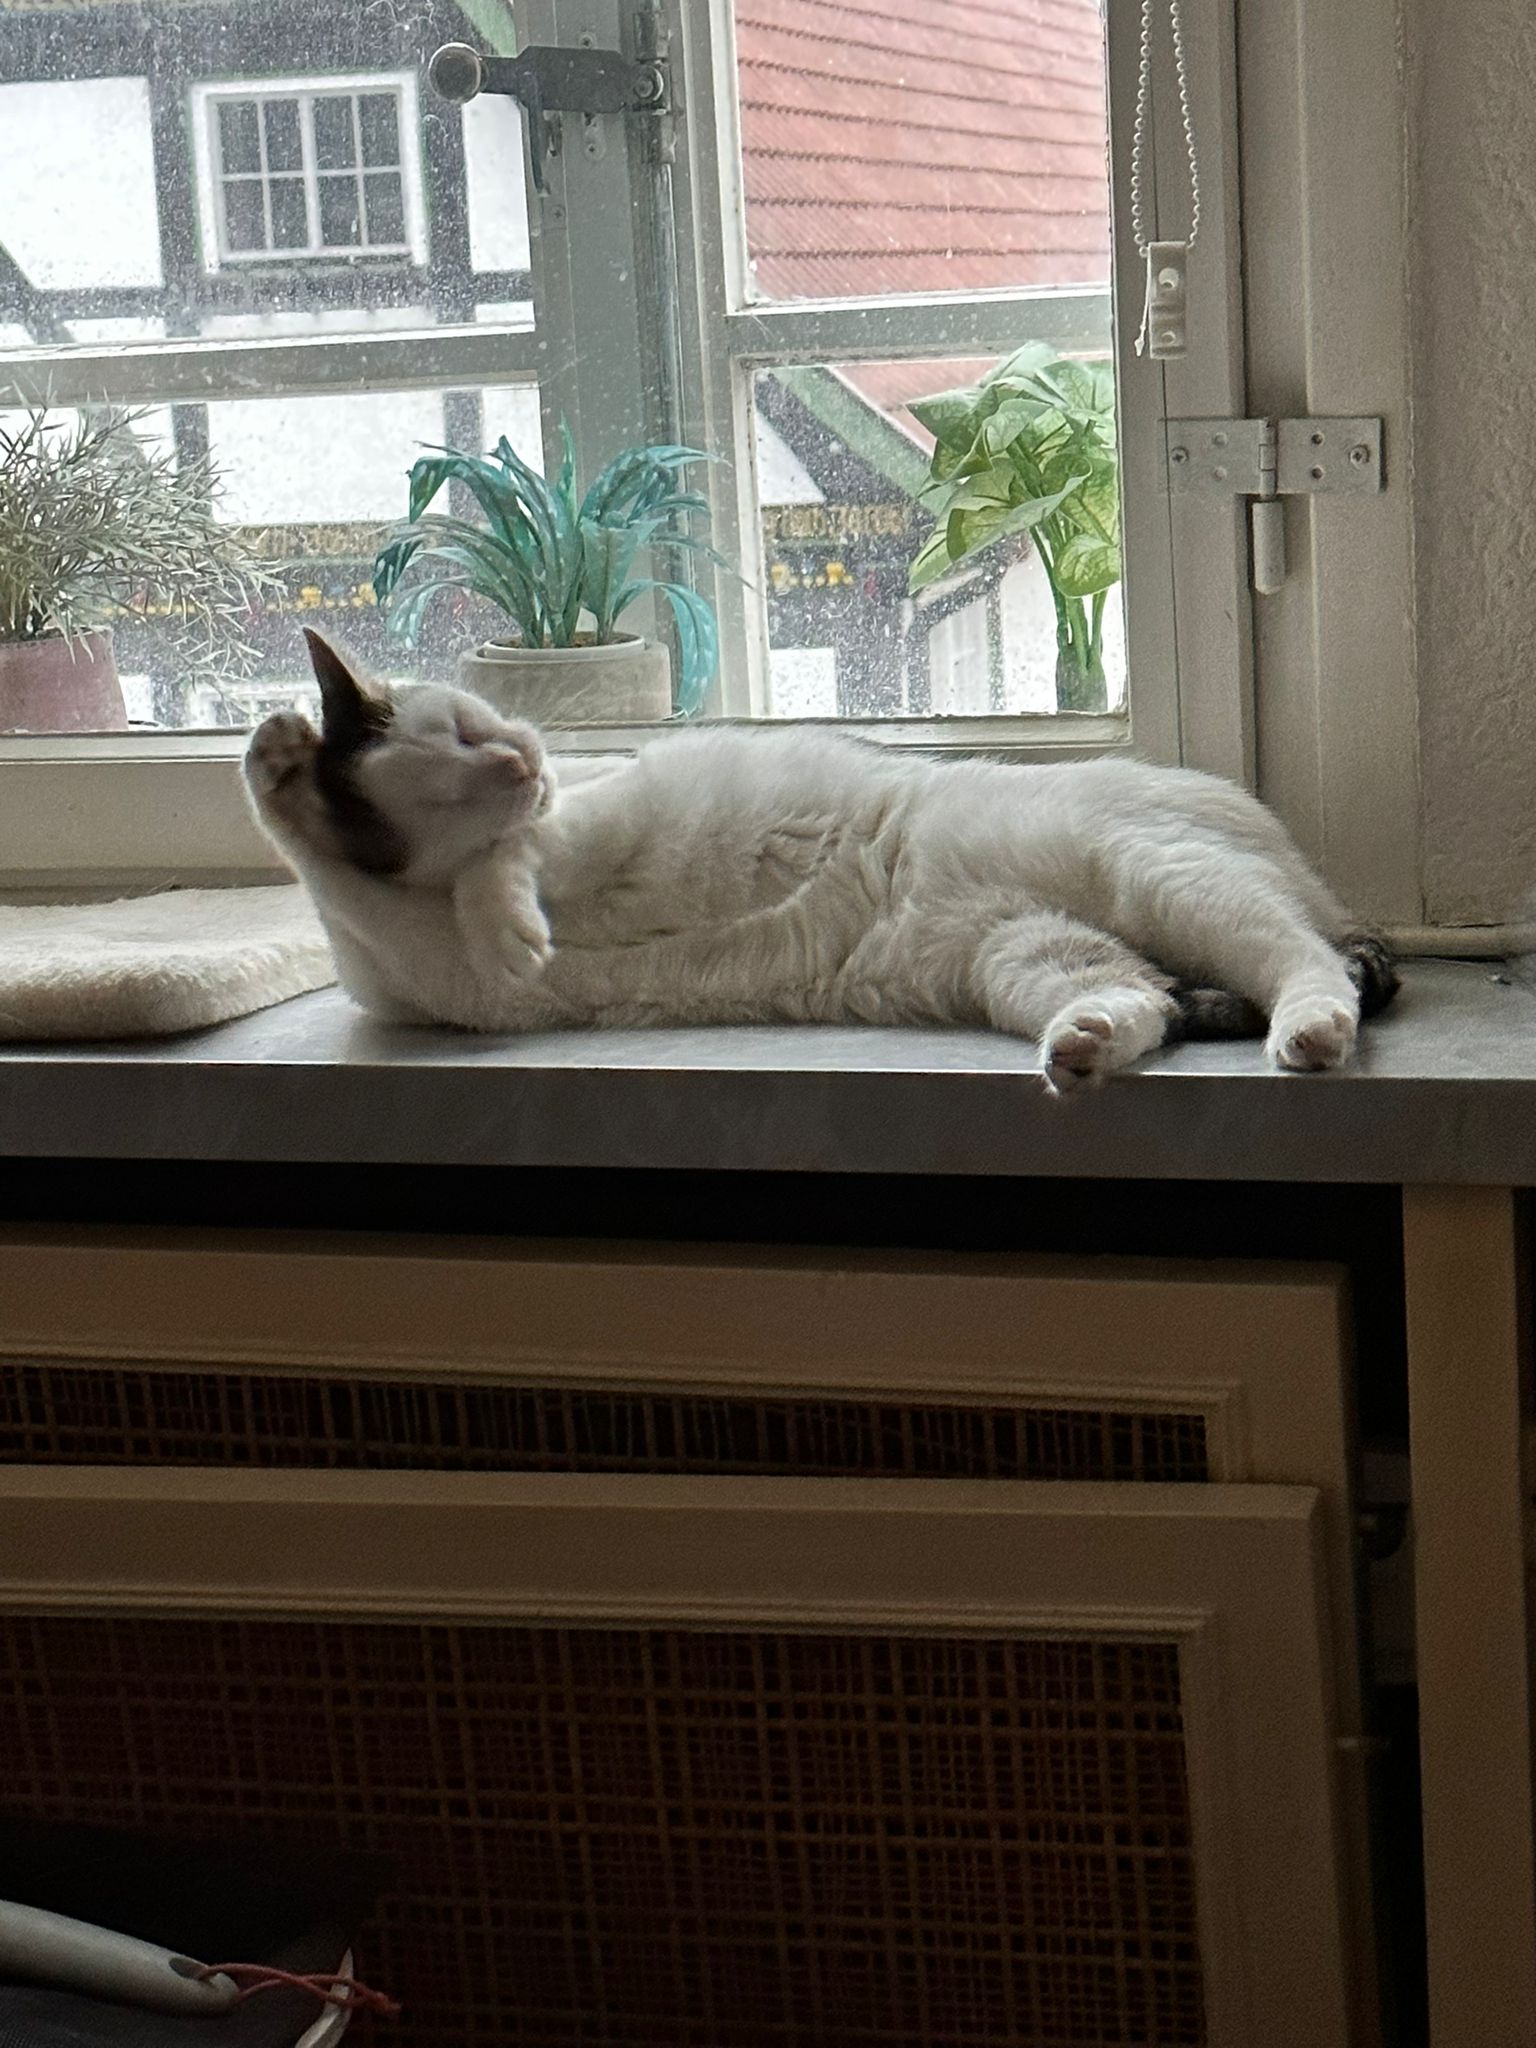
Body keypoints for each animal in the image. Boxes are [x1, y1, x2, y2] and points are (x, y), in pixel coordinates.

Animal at [243, 629, 1397, 1090]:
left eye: (476, 721)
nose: (527, 757)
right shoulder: (413, 967)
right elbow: (335, 869)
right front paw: (284, 762)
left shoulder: (580, 823)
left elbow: (509, 862)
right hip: (1028, 954)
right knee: (1143, 1000)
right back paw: (1082, 1048)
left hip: (1165, 880)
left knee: (1311, 963)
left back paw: (1309, 1034)